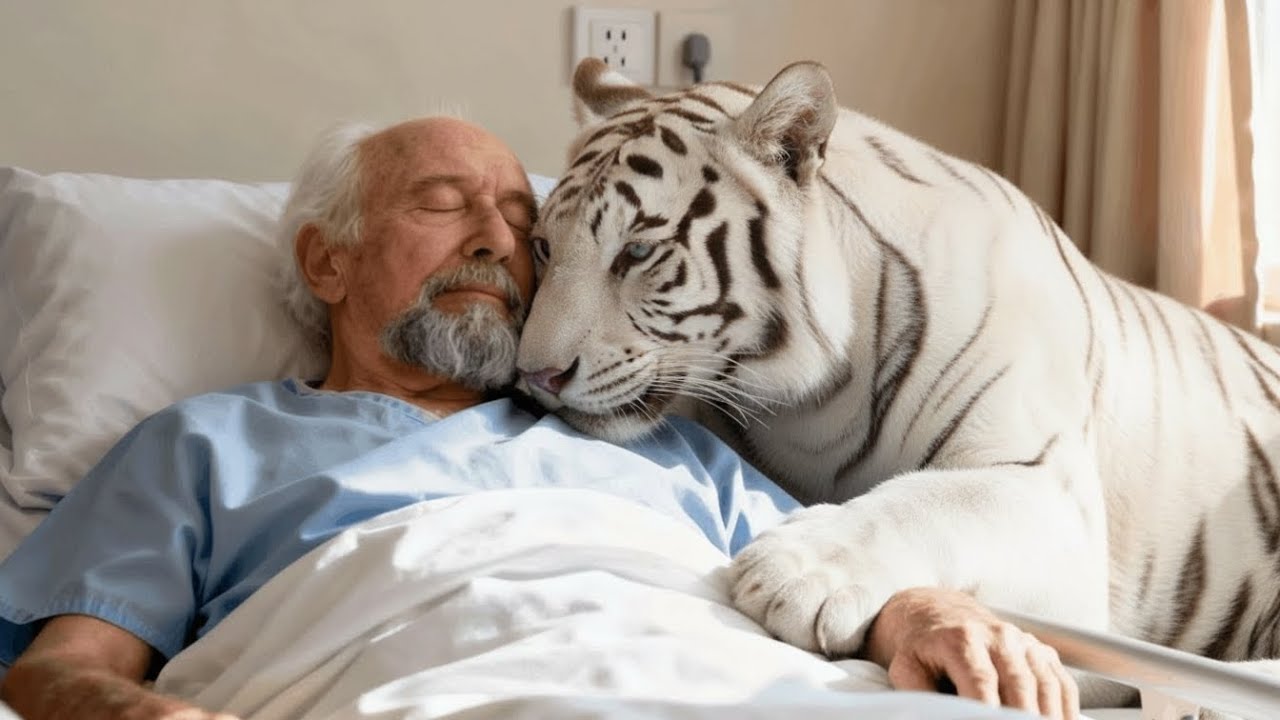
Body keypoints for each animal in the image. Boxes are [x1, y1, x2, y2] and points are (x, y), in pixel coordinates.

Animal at [514, 57, 1280, 710]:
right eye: (544, 246)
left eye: (639, 250)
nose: (534, 375)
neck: (808, 406)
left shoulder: (1053, 500)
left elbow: (930, 499)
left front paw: (790, 572)